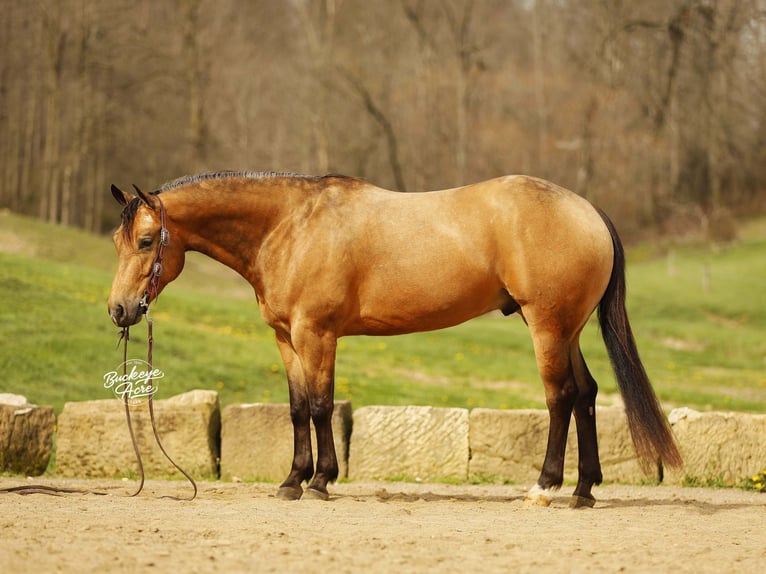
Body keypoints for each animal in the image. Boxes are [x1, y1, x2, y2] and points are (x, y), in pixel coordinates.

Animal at [107, 171, 681, 507]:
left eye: (145, 241)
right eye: (117, 240)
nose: (120, 310)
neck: (290, 227)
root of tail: (587, 210)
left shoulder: (317, 334)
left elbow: (321, 405)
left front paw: (321, 481)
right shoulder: (286, 339)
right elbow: (296, 408)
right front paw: (292, 481)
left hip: (547, 327)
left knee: (560, 398)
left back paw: (544, 487)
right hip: (568, 330)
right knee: (586, 395)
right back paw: (583, 491)